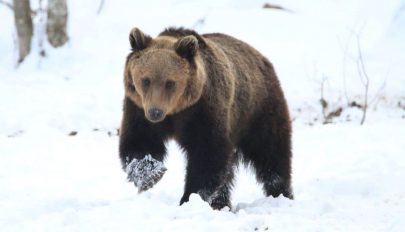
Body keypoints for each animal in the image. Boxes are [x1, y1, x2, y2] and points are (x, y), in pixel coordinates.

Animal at [118, 26, 292, 209]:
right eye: (145, 80)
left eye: (170, 82)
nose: (155, 112)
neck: (176, 111)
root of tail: (260, 57)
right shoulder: (138, 108)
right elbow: (140, 142)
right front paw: (150, 176)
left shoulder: (203, 111)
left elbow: (207, 154)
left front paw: (190, 197)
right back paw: (222, 204)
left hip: (257, 110)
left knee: (271, 154)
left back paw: (281, 194)